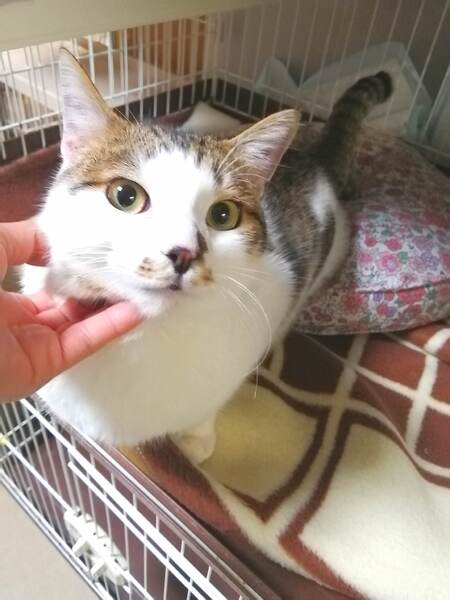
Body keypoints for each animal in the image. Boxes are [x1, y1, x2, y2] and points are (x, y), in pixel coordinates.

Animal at [22, 49, 392, 462]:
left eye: (223, 215)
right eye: (125, 195)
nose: (183, 253)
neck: (146, 339)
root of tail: (314, 161)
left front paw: (195, 441)